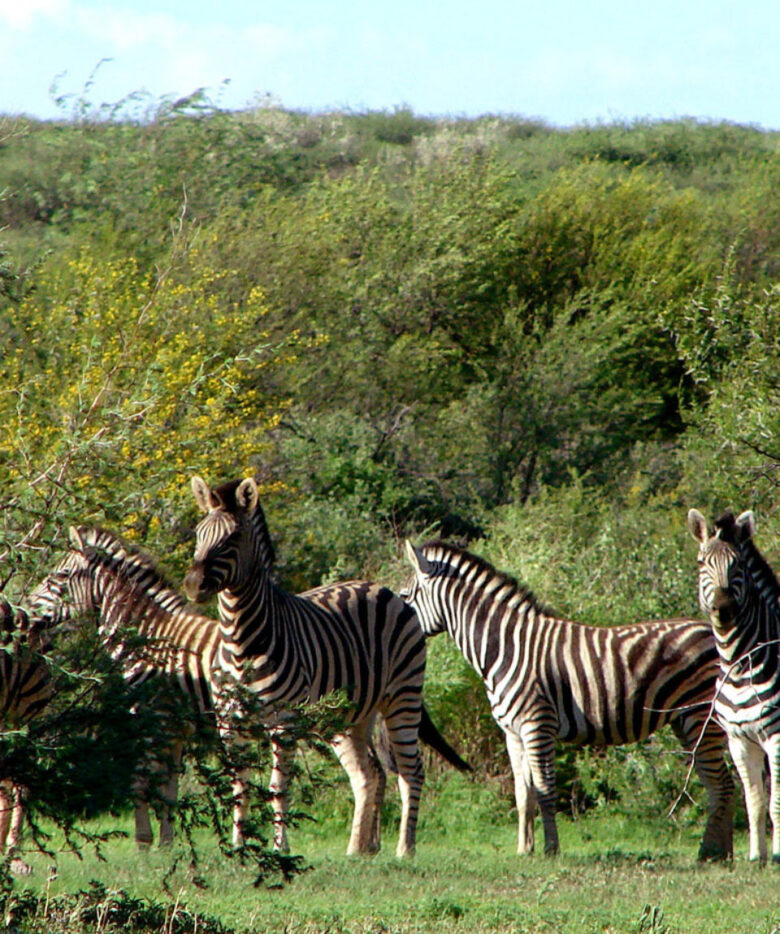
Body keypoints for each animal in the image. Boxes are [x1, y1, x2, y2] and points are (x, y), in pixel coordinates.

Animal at [29, 525, 223, 848]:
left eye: (60, 576)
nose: (23, 611)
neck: (148, 640)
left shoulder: (152, 721)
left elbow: (140, 782)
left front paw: (144, 842)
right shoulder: (176, 730)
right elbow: (169, 792)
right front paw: (166, 847)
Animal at [183, 475, 445, 859]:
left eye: (233, 538)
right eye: (199, 534)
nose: (192, 585)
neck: (240, 642)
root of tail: (377, 586)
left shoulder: (284, 721)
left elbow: (277, 788)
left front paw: (280, 849)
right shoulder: (229, 723)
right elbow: (239, 787)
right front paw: (238, 848)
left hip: (403, 696)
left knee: (411, 770)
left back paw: (405, 850)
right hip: (349, 714)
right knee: (367, 774)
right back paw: (357, 850)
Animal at [402, 539, 735, 859]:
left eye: (405, 596)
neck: (506, 647)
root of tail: (712, 632)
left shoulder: (537, 725)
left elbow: (545, 789)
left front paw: (551, 849)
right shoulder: (513, 733)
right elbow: (523, 795)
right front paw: (524, 849)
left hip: (700, 716)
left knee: (721, 783)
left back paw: (709, 852)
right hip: (685, 721)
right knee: (718, 782)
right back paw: (724, 854)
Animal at [687, 508, 780, 864]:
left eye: (737, 564)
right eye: (702, 562)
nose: (724, 610)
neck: (740, 666)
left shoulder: (776, 738)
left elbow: (775, 802)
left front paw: (776, 855)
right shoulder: (739, 740)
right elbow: (754, 801)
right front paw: (757, 857)